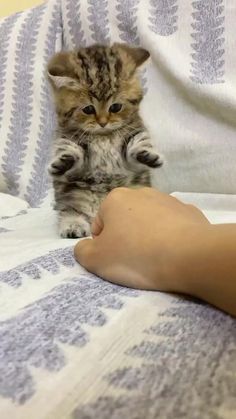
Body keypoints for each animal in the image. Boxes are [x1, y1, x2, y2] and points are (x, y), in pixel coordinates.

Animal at [48, 44, 162, 238]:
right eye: (88, 109)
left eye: (115, 107)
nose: (102, 122)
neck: (103, 136)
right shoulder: (69, 138)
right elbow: (71, 151)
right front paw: (63, 161)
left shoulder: (133, 133)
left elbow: (138, 144)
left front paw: (148, 155)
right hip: (72, 193)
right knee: (71, 210)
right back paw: (73, 226)